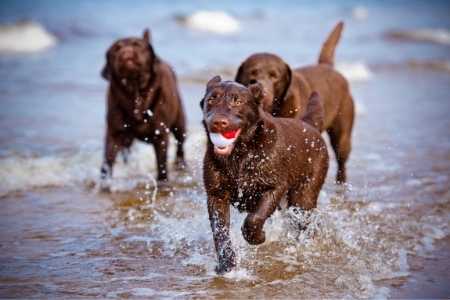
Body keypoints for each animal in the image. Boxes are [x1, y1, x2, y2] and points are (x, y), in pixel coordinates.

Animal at [100, 29, 186, 182]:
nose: (126, 52)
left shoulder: (160, 136)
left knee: (180, 144)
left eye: (137, 45)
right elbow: (107, 161)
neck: (135, 94)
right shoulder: (114, 134)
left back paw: (180, 164)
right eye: (116, 49)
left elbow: (162, 164)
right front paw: (104, 182)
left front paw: (163, 181)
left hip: (179, 123)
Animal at [202, 76, 328, 274]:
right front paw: (227, 264)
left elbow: (254, 219)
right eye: (211, 99)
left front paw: (258, 237)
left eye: (237, 101)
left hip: (303, 197)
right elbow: (220, 231)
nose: (218, 122)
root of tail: (309, 126)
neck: (240, 154)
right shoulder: (216, 195)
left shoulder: (274, 187)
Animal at [236, 21, 356, 183]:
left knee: (341, 159)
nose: (262, 92)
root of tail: (327, 66)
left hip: (342, 133)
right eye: (252, 74)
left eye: (274, 76)